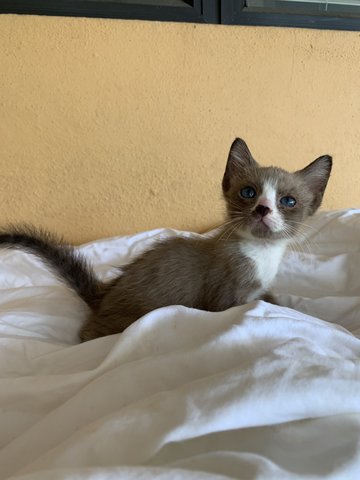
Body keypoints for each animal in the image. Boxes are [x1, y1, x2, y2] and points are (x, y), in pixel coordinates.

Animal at [0, 139, 330, 342]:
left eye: (288, 201)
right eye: (249, 192)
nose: (263, 209)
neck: (261, 253)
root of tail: (106, 293)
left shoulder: (261, 288)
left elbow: (275, 300)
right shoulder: (226, 299)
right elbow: (246, 307)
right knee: (90, 333)